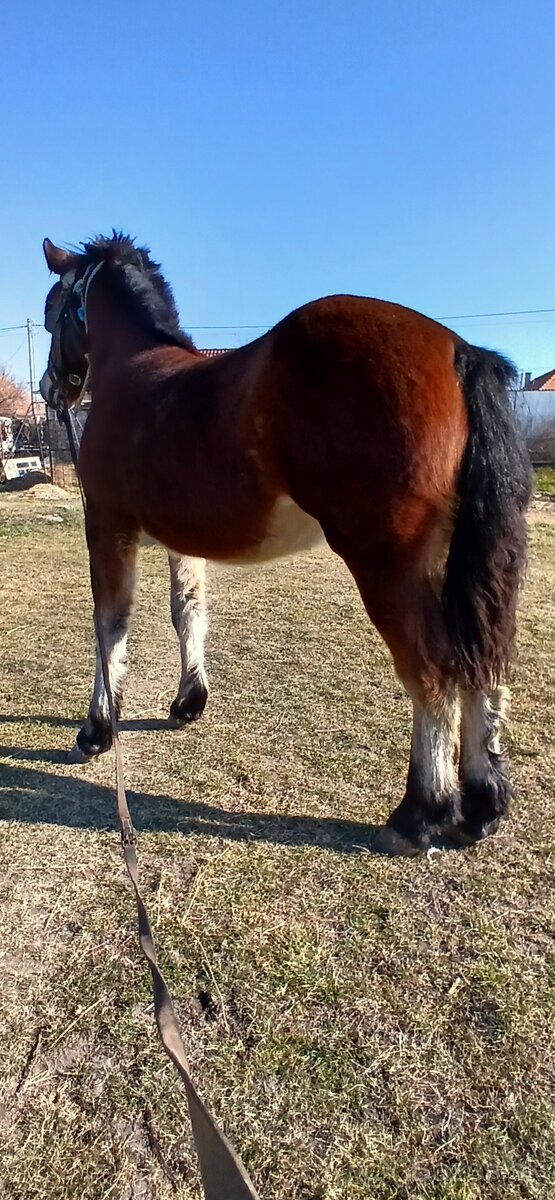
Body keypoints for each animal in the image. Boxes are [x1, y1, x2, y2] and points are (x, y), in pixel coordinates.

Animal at [39, 234, 533, 854]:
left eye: (52, 310)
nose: (47, 388)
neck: (135, 371)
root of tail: (457, 351)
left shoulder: (107, 524)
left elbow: (109, 623)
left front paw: (96, 731)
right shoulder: (181, 536)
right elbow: (187, 611)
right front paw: (188, 703)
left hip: (387, 564)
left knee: (433, 670)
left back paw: (420, 814)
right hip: (453, 564)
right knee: (478, 661)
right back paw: (482, 805)